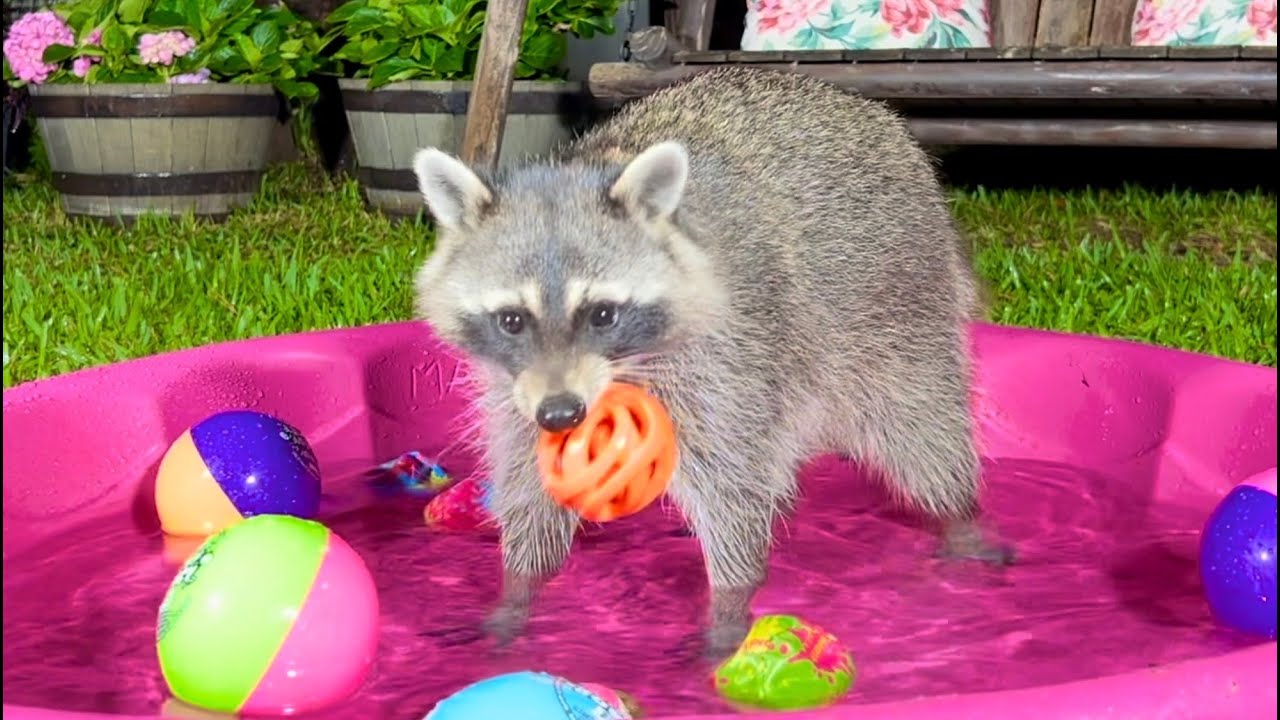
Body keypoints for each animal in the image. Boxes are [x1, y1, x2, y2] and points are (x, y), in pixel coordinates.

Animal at [410, 67, 1011, 657]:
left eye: (602, 314)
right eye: (512, 319)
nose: (561, 415)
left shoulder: (726, 353)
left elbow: (730, 484)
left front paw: (730, 599)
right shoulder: (515, 389)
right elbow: (531, 481)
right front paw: (518, 590)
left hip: (899, 312)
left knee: (918, 426)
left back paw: (957, 514)